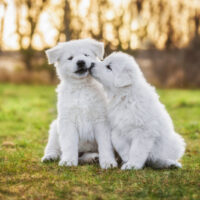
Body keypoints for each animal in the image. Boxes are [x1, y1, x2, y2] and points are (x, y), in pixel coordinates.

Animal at [41, 39, 117, 169]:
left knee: (83, 155)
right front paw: (68, 161)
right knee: (53, 147)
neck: (81, 87)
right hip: (55, 128)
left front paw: (108, 162)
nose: (81, 62)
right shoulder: (67, 121)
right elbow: (69, 144)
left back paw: (92, 157)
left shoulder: (101, 120)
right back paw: (50, 156)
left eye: (86, 55)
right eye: (70, 58)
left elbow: (105, 144)